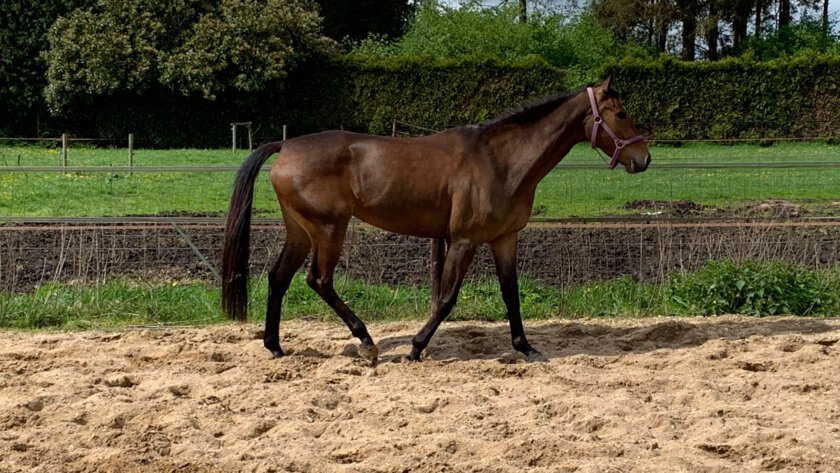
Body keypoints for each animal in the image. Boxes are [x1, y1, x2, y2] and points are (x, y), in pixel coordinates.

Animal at [221, 76, 650, 363]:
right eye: (622, 113)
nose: (644, 158)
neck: (500, 161)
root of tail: (286, 145)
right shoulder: (463, 241)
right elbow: (446, 299)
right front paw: (415, 348)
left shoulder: (504, 238)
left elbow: (511, 294)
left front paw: (526, 347)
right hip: (329, 230)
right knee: (318, 281)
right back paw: (367, 343)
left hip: (301, 231)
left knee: (279, 278)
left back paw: (275, 346)